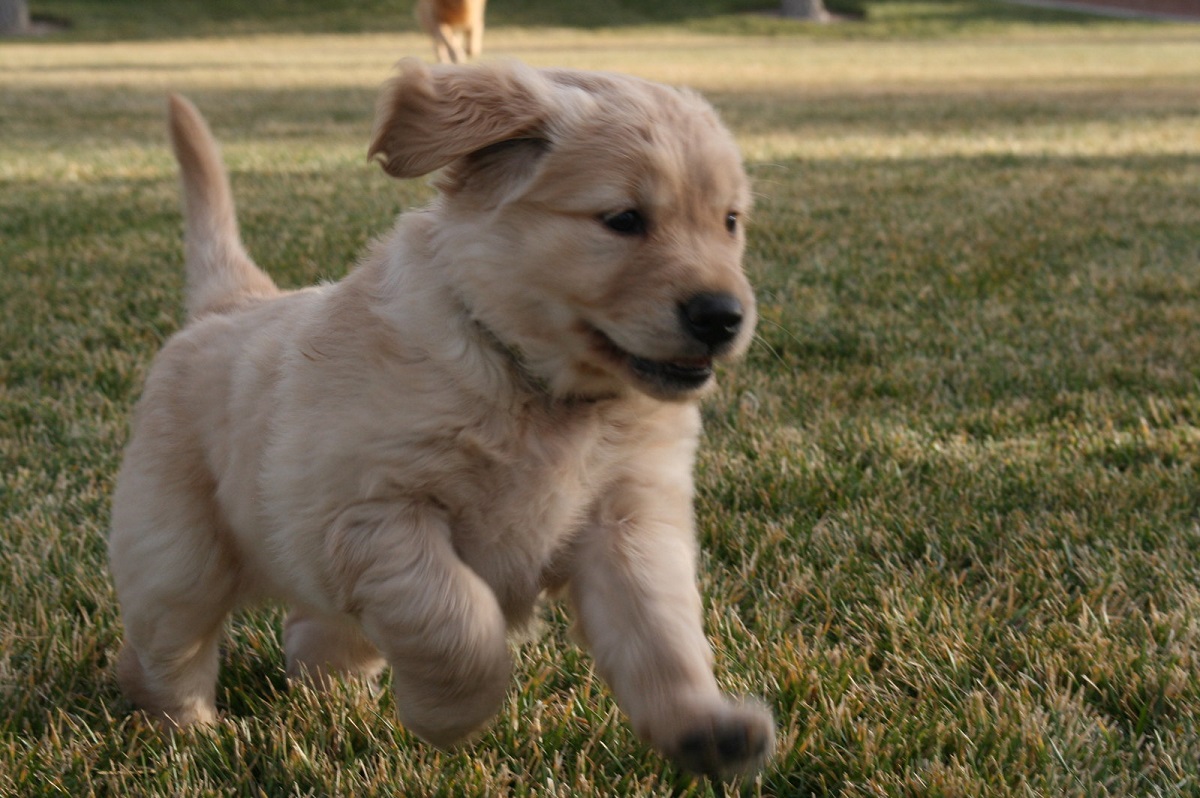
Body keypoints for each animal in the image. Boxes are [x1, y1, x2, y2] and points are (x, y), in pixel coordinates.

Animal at [108, 57, 772, 777]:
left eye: (729, 221)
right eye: (623, 219)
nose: (722, 315)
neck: (534, 385)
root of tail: (230, 303)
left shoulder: (628, 521)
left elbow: (661, 634)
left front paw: (704, 728)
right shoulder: (375, 512)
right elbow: (455, 619)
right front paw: (451, 715)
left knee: (315, 629)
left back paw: (332, 696)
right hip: (177, 552)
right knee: (166, 645)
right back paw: (184, 729)